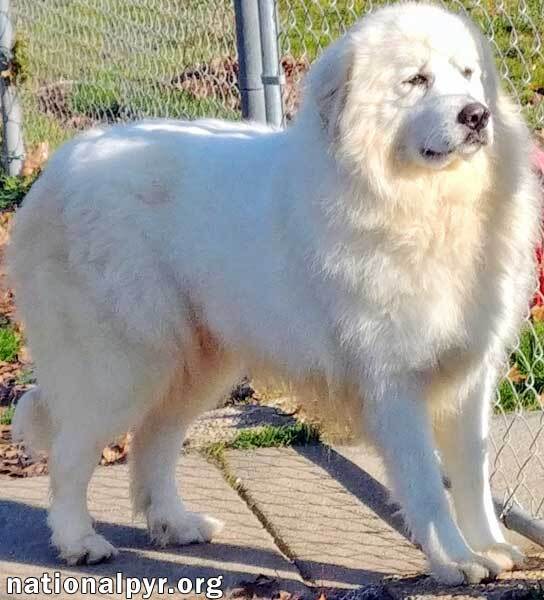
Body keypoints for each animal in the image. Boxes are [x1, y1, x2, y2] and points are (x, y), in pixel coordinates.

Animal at [10, 1, 540, 584]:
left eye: (468, 74)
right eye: (416, 80)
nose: (476, 115)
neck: (427, 204)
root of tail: (58, 167)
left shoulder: (470, 374)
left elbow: (473, 476)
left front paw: (491, 547)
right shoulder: (394, 382)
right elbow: (427, 485)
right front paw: (455, 561)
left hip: (195, 366)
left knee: (152, 443)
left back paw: (175, 524)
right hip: (121, 366)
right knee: (71, 454)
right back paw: (79, 541)